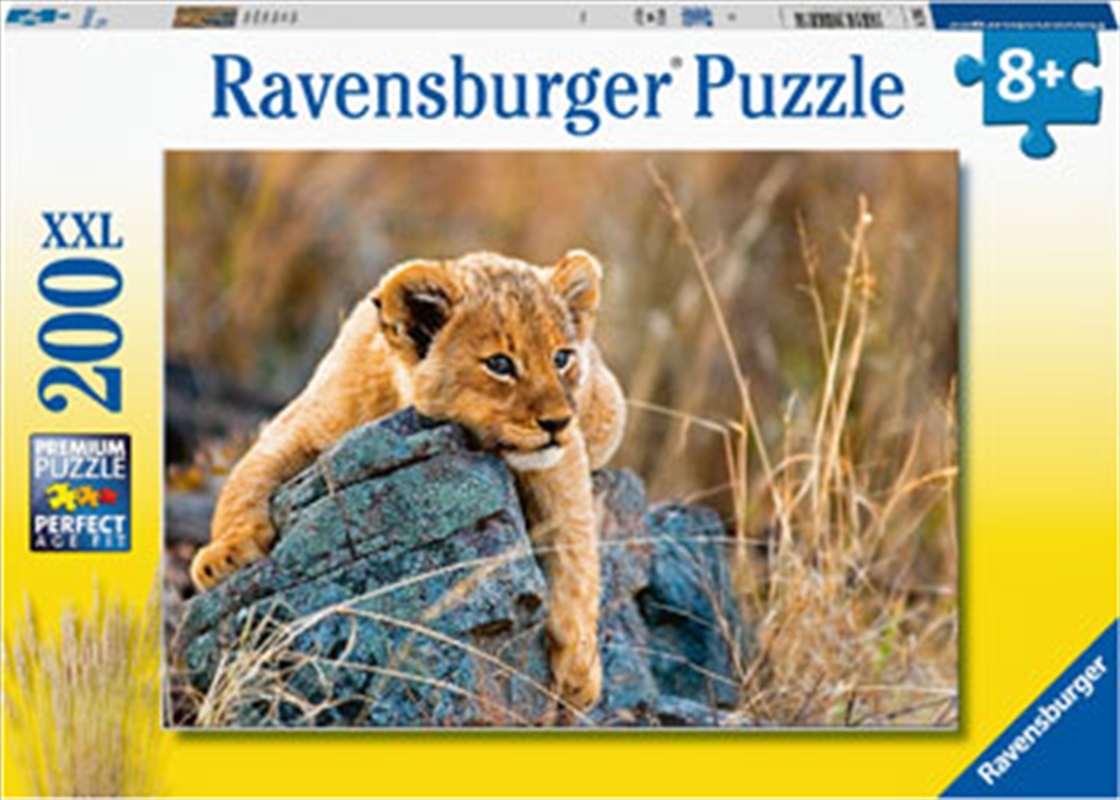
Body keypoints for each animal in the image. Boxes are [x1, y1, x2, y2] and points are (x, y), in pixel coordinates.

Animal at [189, 250, 626, 709]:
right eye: (500, 364)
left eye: (562, 358)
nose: (558, 422)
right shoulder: (298, 423)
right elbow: (244, 479)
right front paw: (224, 556)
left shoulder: (562, 459)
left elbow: (576, 548)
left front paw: (579, 669)